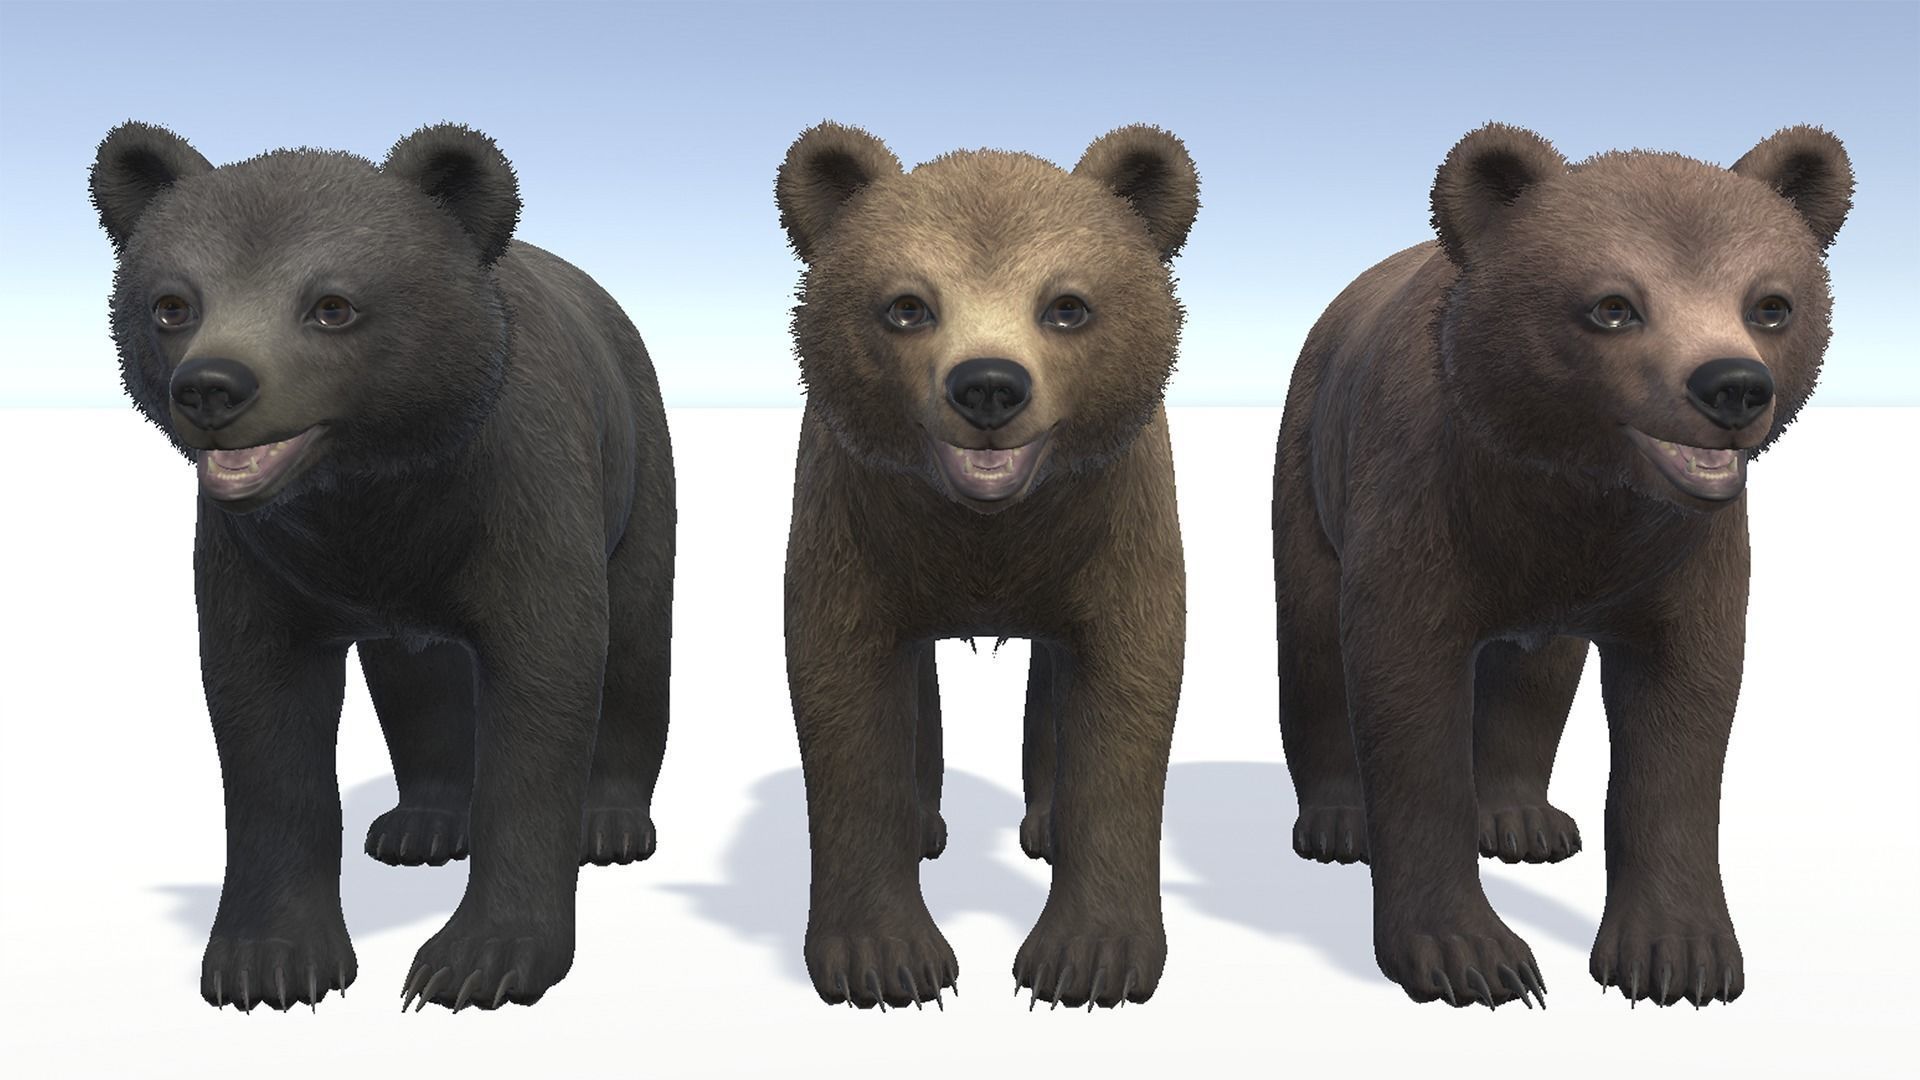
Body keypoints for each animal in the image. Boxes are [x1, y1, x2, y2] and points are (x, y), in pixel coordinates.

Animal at [90, 121, 677, 1012]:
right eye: (172, 303)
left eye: (332, 305)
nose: (213, 386)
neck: (377, 491)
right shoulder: (261, 559)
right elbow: (264, 725)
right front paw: (269, 958)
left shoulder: (525, 503)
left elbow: (545, 691)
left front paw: (479, 958)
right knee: (416, 676)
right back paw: (423, 822)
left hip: (637, 464)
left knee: (638, 634)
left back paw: (609, 822)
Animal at [775, 122, 1198, 1010]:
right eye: (907, 304)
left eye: (1067, 305)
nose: (990, 387)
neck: (987, 532)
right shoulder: (853, 525)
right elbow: (845, 699)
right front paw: (887, 959)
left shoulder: (1118, 522)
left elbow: (1126, 692)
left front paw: (1087, 958)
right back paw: (925, 828)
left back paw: (1044, 828)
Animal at [1271, 123, 1851, 1008]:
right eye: (1613, 305)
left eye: (1771, 304)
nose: (1733, 386)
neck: (1569, 487)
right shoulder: (1421, 508)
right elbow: (1406, 697)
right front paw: (1470, 953)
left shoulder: (1678, 555)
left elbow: (1683, 714)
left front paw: (1678, 951)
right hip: (1309, 463)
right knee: (1309, 637)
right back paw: (1338, 822)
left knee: (1536, 674)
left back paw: (1521, 819)